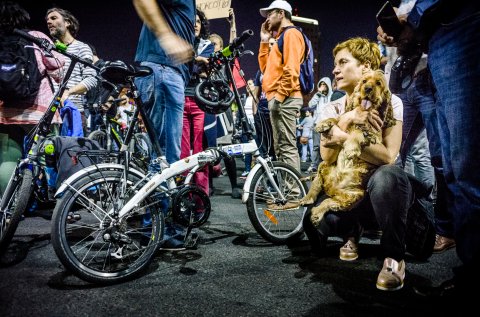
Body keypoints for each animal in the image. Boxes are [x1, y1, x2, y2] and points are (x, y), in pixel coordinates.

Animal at [298, 70, 396, 226]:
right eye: (364, 81)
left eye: (378, 83)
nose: (367, 89)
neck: (364, 110)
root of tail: (332, 188)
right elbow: (339, 119)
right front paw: (323, 124)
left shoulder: (373, 135)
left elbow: (357, 132)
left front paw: (351, 148)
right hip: (324, 165)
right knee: (316, 185)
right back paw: (307, 198)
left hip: (354, 196)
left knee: (329, 202)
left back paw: (317, 213)